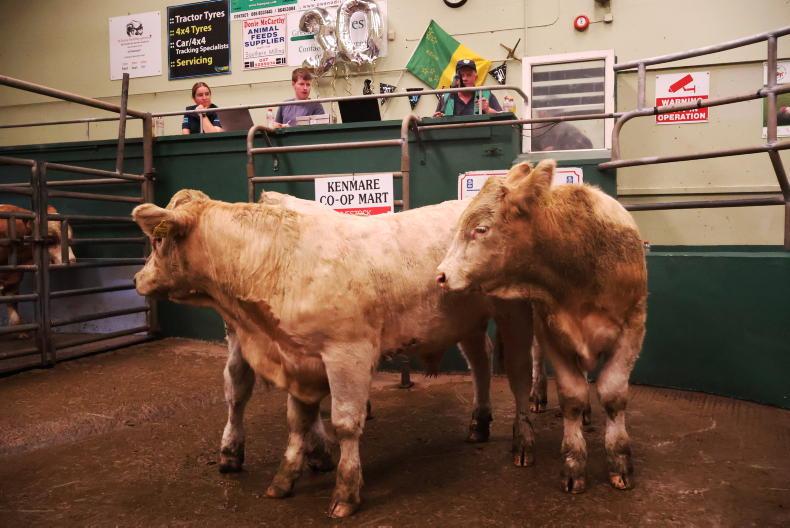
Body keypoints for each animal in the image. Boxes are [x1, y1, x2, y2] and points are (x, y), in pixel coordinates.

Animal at [1, 204, 76, 335]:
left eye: (70, 239)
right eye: (51, 239)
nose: (72, 260)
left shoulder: (13, 283)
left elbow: (15, 315)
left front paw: (22, 332)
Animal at [132, 189, 538, 518]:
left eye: (157, 239)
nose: (137, 279)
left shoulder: (347, 353)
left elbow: (345, 422)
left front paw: (346, 490)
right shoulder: (297, 357)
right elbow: (297, 420)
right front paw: (285, 478)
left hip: (515, 312)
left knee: (519, 375)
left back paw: (523, 441)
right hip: (466, 320)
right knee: (481, 362)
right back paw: (479, 423)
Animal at [436, 160, 648, 494]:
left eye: (481, 229)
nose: (441, 275)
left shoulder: (632, 328)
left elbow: (613, 395)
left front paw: (620, 461)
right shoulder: (552, 331)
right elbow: (572, 395)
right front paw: (573, 463)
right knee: (536, 361)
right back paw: (537, 396)